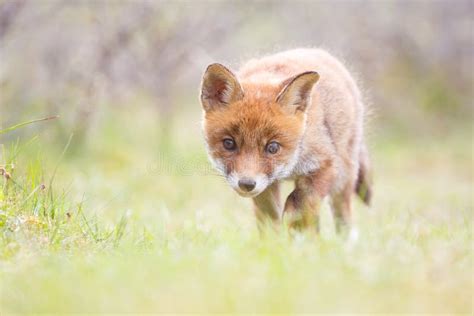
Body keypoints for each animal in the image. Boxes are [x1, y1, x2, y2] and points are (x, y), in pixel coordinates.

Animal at [198, 48, 372, 232]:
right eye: (229, 144)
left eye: (273, 147)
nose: (247, 184)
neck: (291, 166)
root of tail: (315, 50)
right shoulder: (266, 186)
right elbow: (270, 218)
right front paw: (276, 238)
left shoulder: (326, 164)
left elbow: (301, 202)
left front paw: (295, 227)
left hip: (344, 177)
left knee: (342, 216)